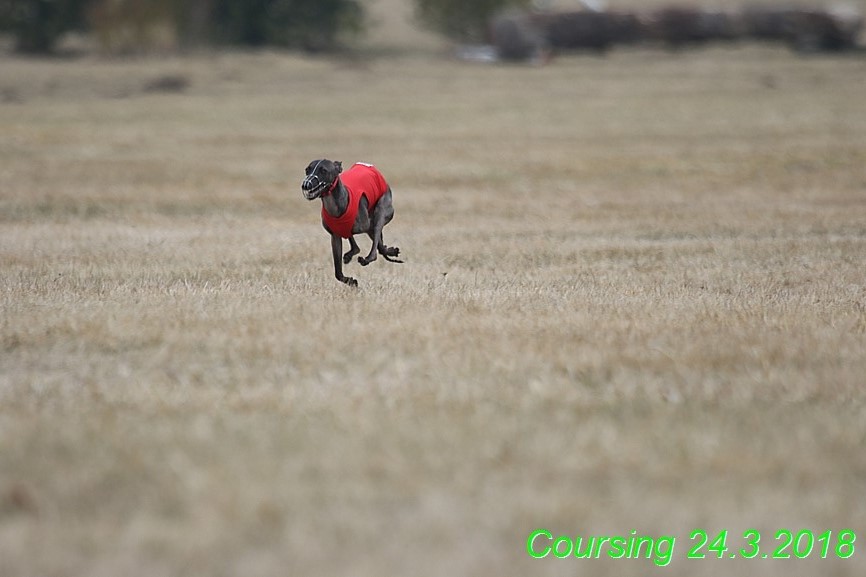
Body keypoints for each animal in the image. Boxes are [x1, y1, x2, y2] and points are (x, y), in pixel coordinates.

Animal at [300, 158, 402, 286]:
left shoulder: (367, 226)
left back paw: (368, 258)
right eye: (307, 170)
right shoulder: (335, 237)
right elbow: (338, 272)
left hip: (381, 209)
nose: (306, 185)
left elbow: (377, 245)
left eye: (323, 171)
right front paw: (351, 281)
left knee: (376, 240)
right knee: (359, 244)